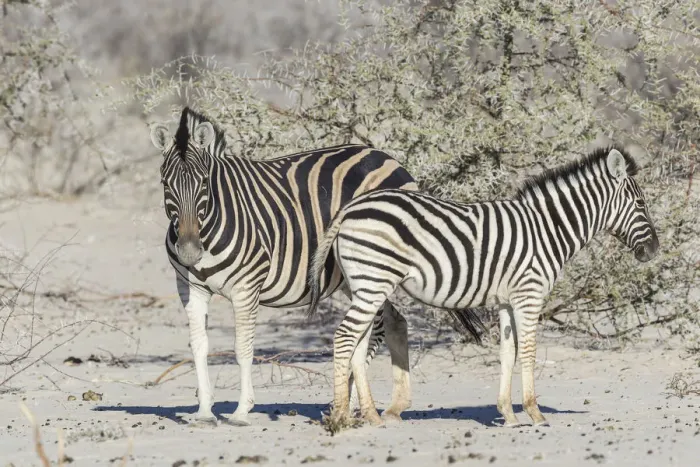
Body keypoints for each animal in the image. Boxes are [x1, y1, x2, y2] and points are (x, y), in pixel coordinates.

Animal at [149, 107, 483, 426]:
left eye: (204, 183)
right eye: (165, 184)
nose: (190, 252)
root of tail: (387, 157)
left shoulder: (246, 287)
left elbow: (242, 349)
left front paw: (242, 412)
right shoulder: (191, 288)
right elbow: (199, 347)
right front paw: (205, 412)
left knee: (373, 329)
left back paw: (354, 406)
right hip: (360, 275)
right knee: (393, 323)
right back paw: (385, 406)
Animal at [306, 147, 659, 427]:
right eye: (641, 204)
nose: (654, 250)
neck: (546, 230)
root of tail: (349, 209)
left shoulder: (506, 300)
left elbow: (507, 352)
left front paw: (509, 414)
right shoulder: (529, 294)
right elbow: (528, 351)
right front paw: (534, 413)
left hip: (365, 286)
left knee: (358, 343)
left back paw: (371, 416)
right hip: (373, 282)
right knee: (345, 337)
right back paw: (341, 416)